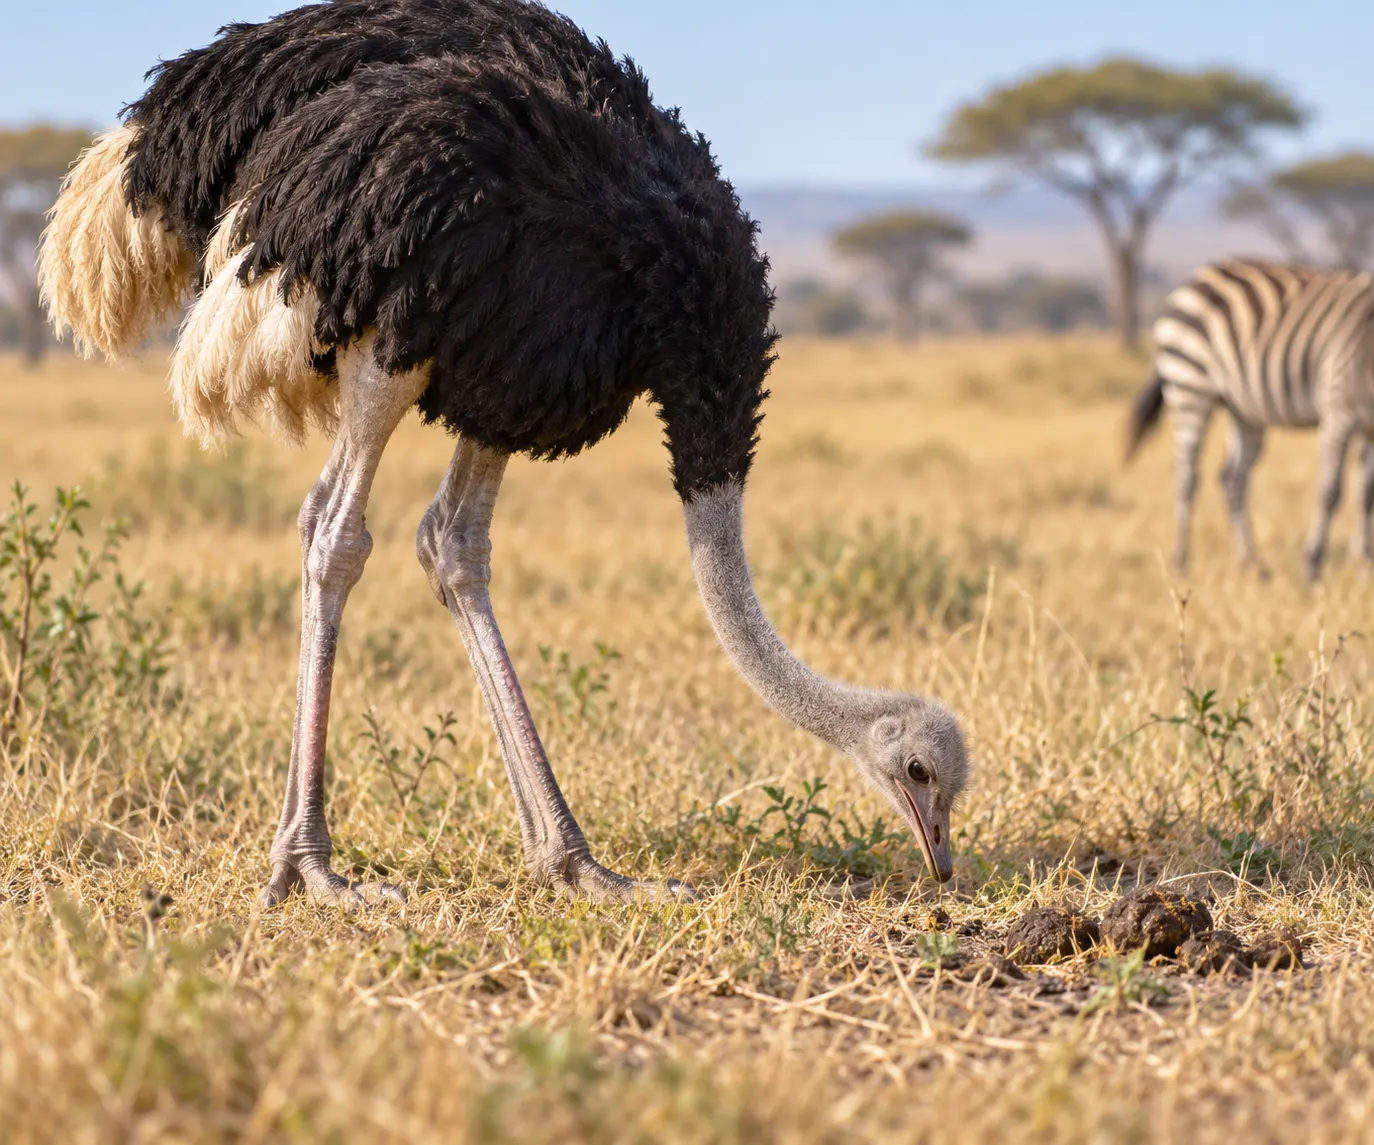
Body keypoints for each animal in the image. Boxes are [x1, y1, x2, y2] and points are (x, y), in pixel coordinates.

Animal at [1126, 257, 1374, 582]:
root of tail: (1198, 278)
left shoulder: (1369, 428)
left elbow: (1366, 493)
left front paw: (1364, 564)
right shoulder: (1339, 412)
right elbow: (1330, 492)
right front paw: (1312, 566)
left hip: (1244, 410)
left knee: (1233, 477)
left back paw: (1253, 565)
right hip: (1190, 387)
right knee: (1186, 475)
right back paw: (1181, 562)